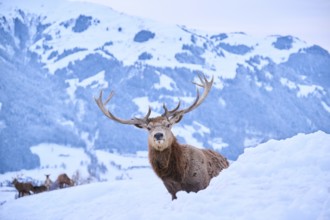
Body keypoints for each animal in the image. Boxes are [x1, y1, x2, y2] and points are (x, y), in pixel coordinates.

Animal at [94, 73, 229, 199]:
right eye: (149, 128)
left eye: (168, 124)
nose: (158, 135)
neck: (178, 176)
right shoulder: (173, 192)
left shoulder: (200, 185)